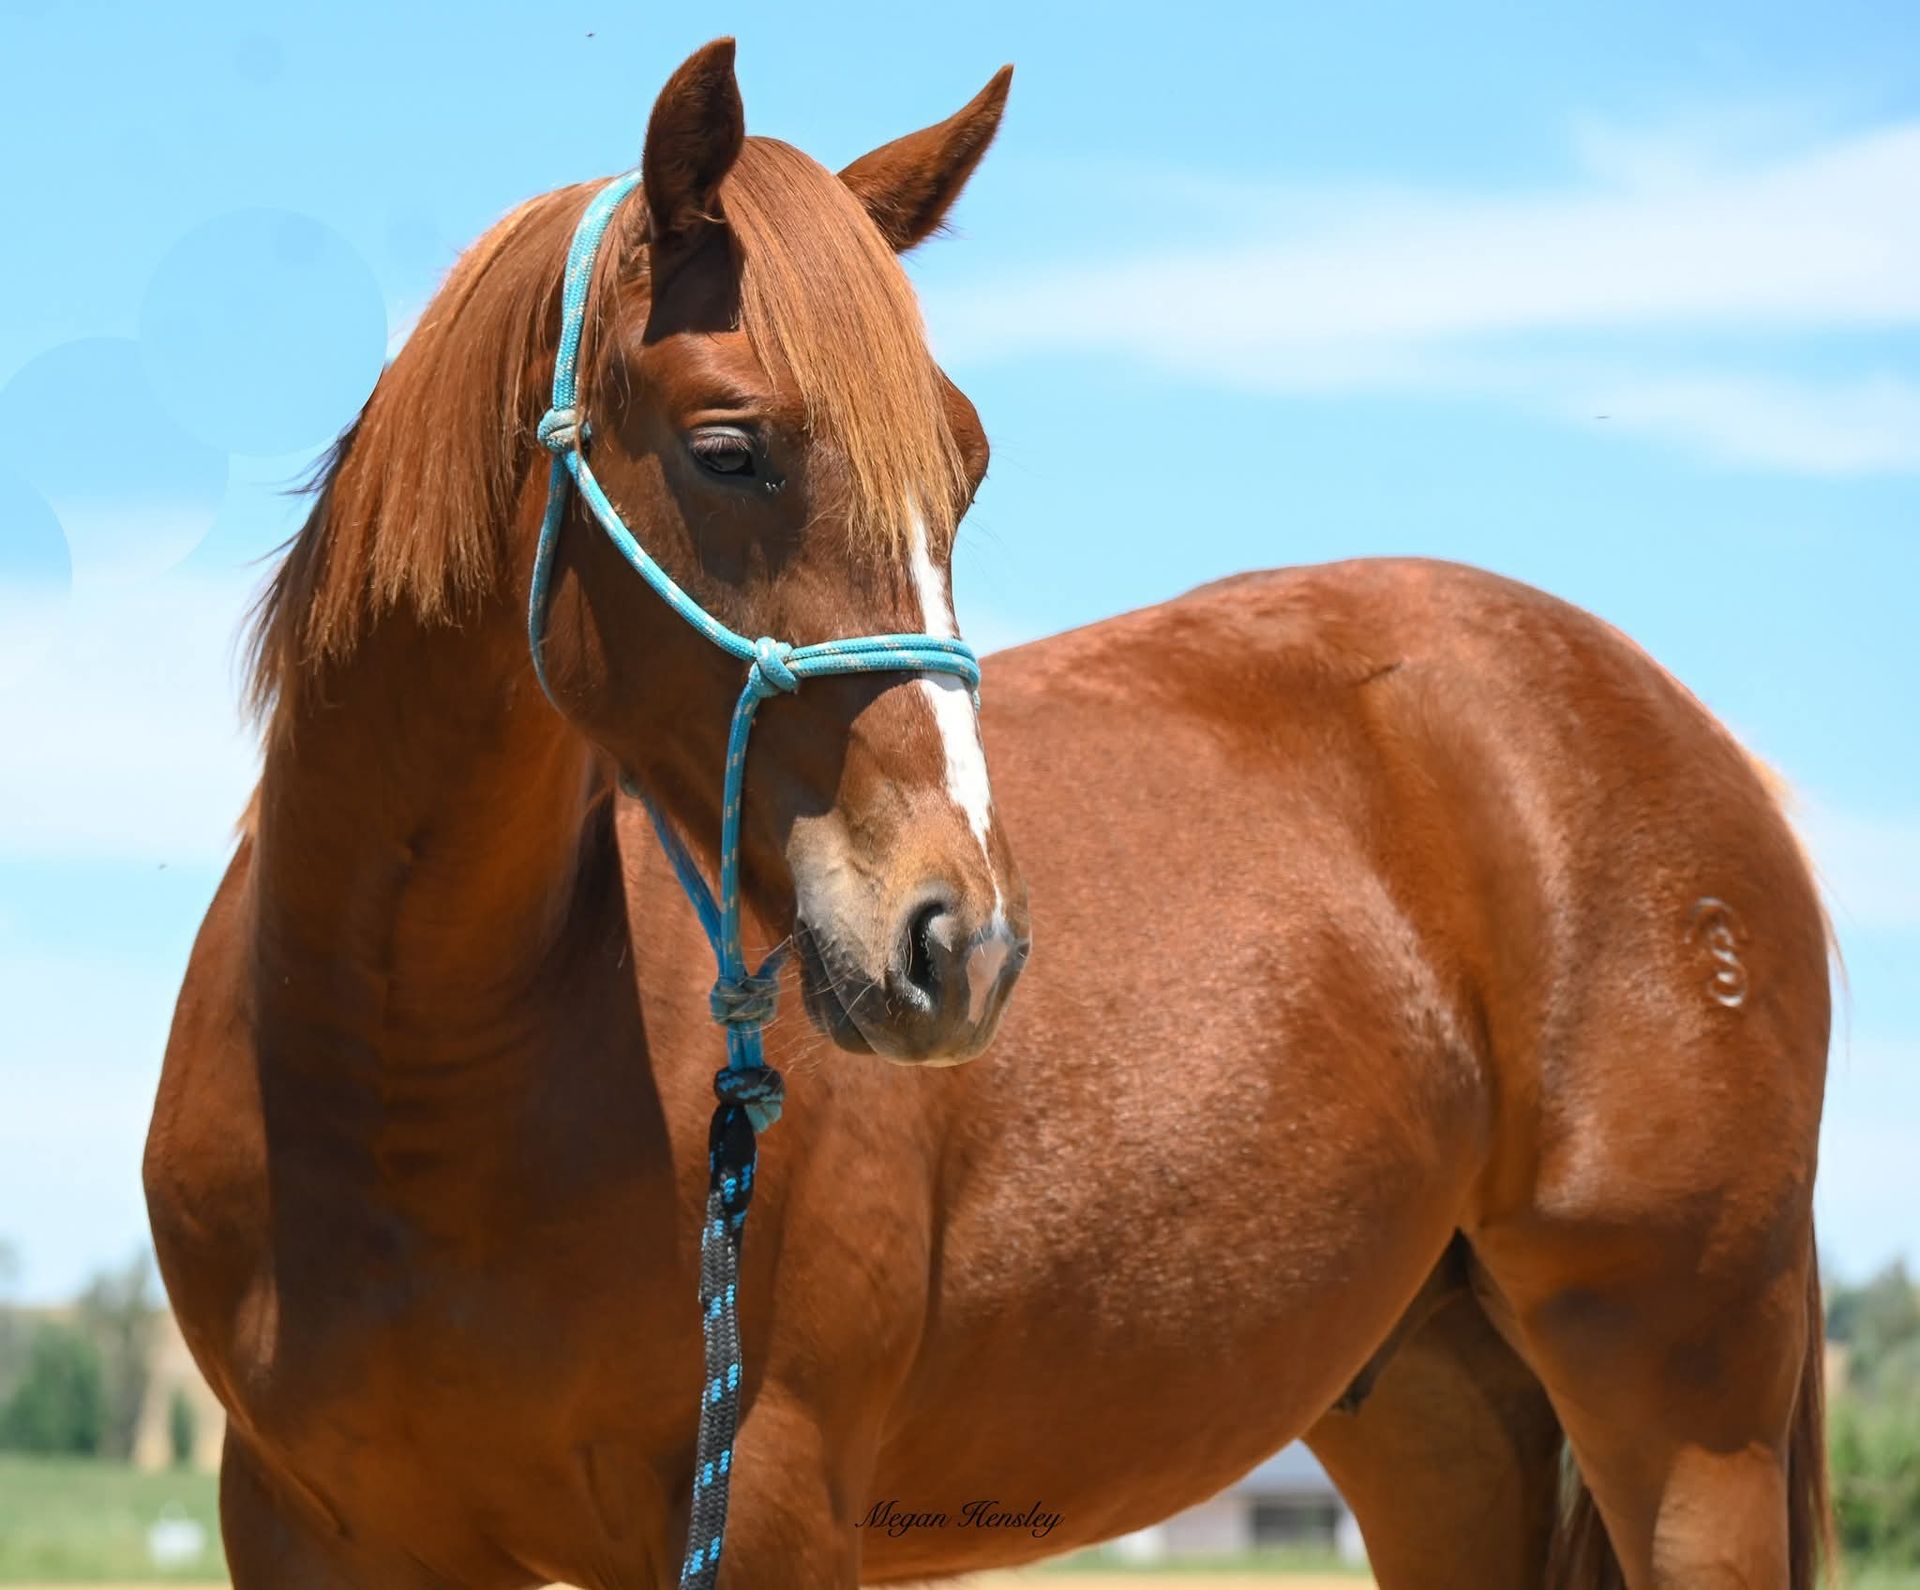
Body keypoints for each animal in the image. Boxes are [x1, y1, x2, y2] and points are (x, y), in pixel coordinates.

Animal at [144, 38, 1834, 1590]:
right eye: (728, 449)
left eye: (965, 468)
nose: (959, 943)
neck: (415, 1076)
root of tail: (1698, 740)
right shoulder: (305, 1524)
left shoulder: (762, 1507)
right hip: (1437, 1413)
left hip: (1690, 1426)